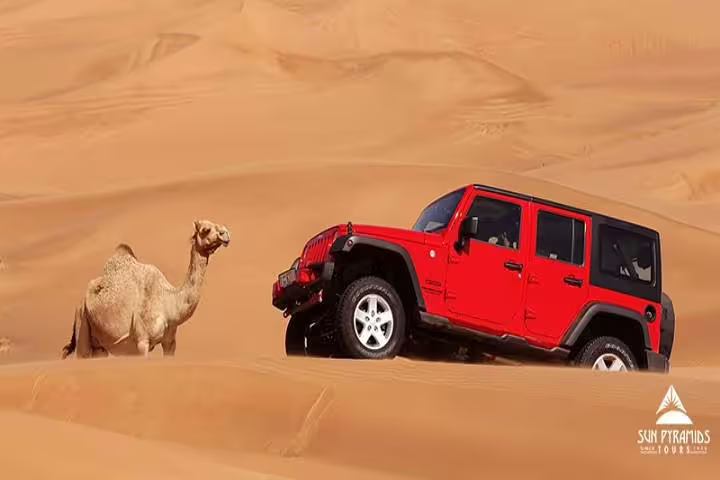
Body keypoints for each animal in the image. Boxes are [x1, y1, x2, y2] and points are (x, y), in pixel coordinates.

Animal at [61, 219, 230, 359]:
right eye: (205, 229)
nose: (226, 233)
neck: (170, 303)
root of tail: (81, 301)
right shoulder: (142, 342)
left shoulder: (170, 342)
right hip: (82, 320)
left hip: (99, 345)